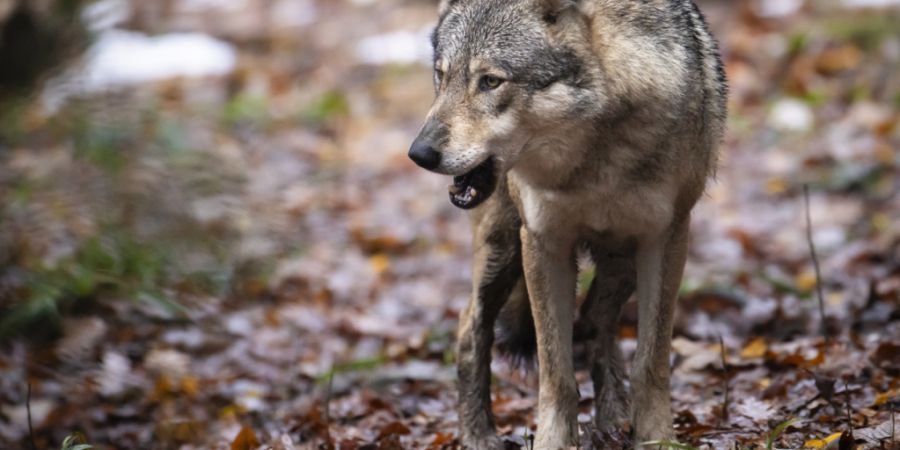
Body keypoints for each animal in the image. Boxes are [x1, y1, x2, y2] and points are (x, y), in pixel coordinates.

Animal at [408, 0, 727, 448]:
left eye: (491, 81)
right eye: (442, 75)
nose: (419, 154)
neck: (593, 161)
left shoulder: (666, 239)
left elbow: (651, 362)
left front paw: (657, 438)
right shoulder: (544, 243)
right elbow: (555, 372)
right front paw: (553, 442)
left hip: (620, 260)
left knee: (594, 320)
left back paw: (612, 419)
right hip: (503, 250)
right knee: (470, 328)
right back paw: (478, 435)